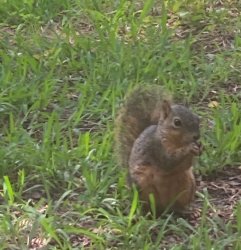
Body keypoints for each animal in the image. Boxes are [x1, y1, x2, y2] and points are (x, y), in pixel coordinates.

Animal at [114, 84, 202, 215]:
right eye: (177, 122)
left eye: (197, 118)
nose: (196, 136)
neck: (177, 141)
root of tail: (166, 207)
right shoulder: (156, 147)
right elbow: (168, 161)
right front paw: (189, 148)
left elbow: (185, 165)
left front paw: (199, 148)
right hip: (142, 186)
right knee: (147, 206)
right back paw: (147, 213)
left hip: (188, 185)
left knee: (178, 206)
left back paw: (187, 210)